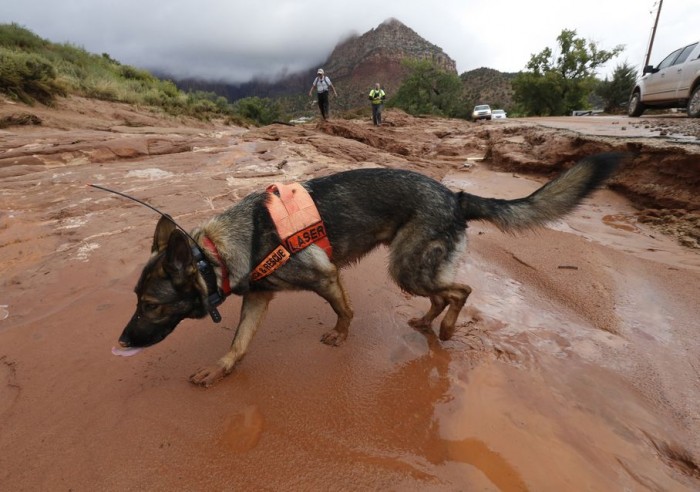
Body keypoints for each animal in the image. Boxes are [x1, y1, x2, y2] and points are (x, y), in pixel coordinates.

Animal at [116, 154, 624, 388]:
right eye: (136, 300)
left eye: (152, 305)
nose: (121, 342)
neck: (217, 253)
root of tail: (455, 195)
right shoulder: (259, 298)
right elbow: (239, 343)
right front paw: (220, 369)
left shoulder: (326, 278)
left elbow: (345, 311)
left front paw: (341, 337)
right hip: (411, 268)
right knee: (443, 293)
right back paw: (427, 322)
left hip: (406, 268)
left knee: (461, 290)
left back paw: (447, 329)